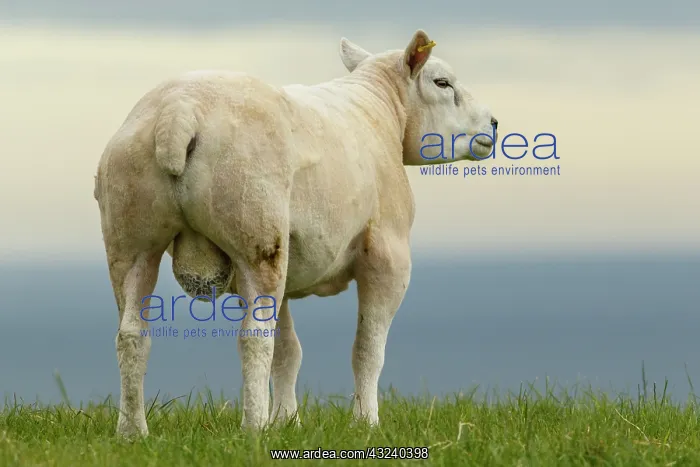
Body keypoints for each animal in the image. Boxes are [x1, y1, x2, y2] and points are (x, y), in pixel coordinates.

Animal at [94, 29, 497, 438]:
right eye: (442, 82)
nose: (494, 125)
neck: (379, 110)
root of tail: (178, 111)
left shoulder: (287, 276)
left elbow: (289, 352)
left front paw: (288, 420)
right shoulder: (388, 257)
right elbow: (367, 351)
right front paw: (365, 422)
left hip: (129, 240)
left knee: (131, 334)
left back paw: (132, 431)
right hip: (257, 234)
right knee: (254, 336)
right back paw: (253, 428)